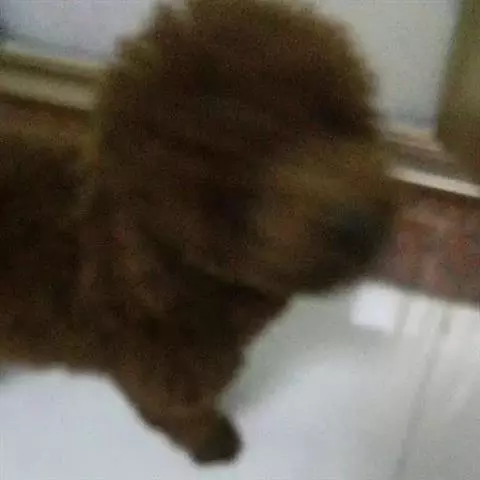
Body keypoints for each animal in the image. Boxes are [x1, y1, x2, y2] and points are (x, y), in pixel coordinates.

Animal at [0, 0, 396, 464]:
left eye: (332, 122)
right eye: (234, 184)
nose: (357, 226)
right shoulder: (162, 373)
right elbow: (181, 411)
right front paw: (212, 440)